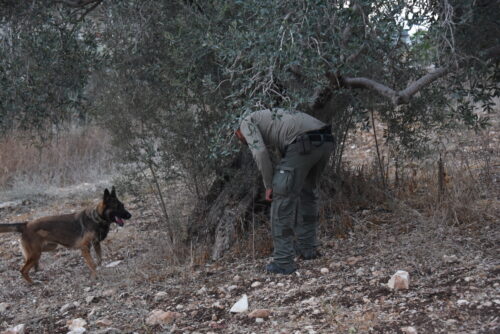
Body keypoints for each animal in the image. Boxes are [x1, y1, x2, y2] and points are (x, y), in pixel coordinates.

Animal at [0, 187, 131, 284]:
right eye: (118, 207)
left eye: (123, 205)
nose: (130, 215)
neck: (97, 218)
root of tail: (26, 224)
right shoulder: (85, 248)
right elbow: (92, 263)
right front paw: (95, 277)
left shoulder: (96, 244)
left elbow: (99, 260)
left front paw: (98, 271)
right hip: (36, 253)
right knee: (23, 270)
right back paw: (33, 283)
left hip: (46, 248)